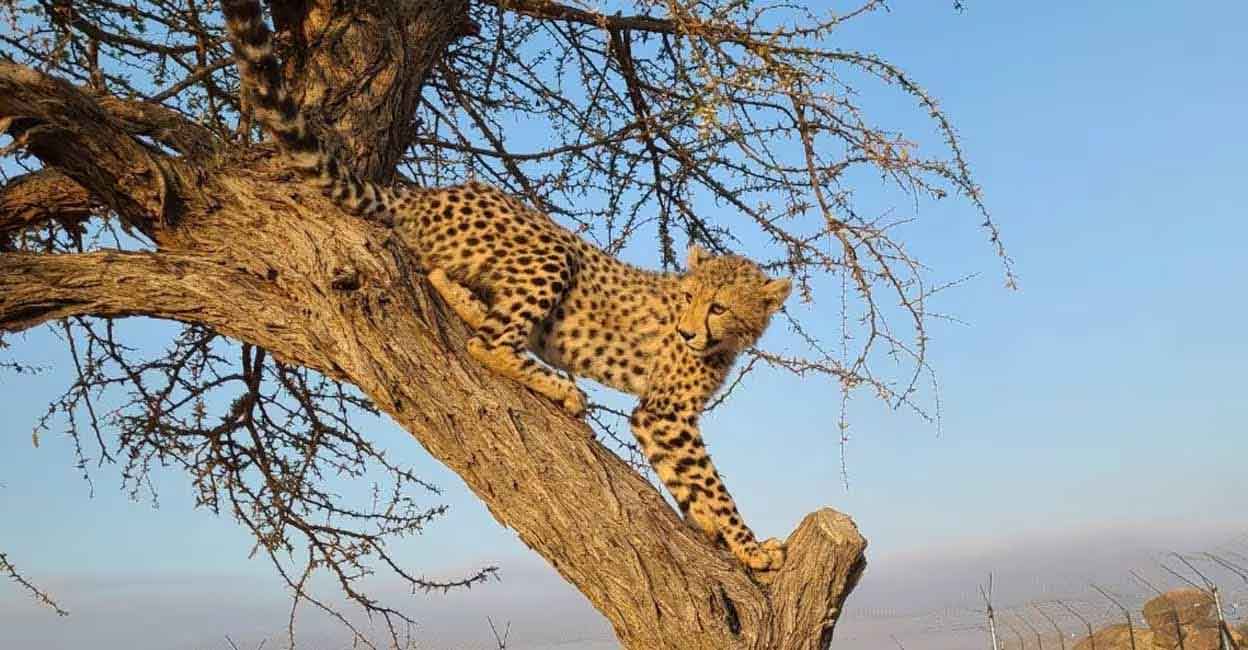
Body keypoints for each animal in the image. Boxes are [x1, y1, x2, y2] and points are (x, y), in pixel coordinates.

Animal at [221, 0, 792, 571]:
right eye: (692, 300)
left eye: (717, 307)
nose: (688, 332)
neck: (727, 343)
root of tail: (431, 194)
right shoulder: (666, 410)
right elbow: (711, 484)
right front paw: (752, 547)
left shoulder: (657, 415)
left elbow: (686, 482)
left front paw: (718, 535)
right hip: (552, 253)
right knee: (487, 342)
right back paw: (560, 387)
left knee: (445, 281)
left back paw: (480, 310)